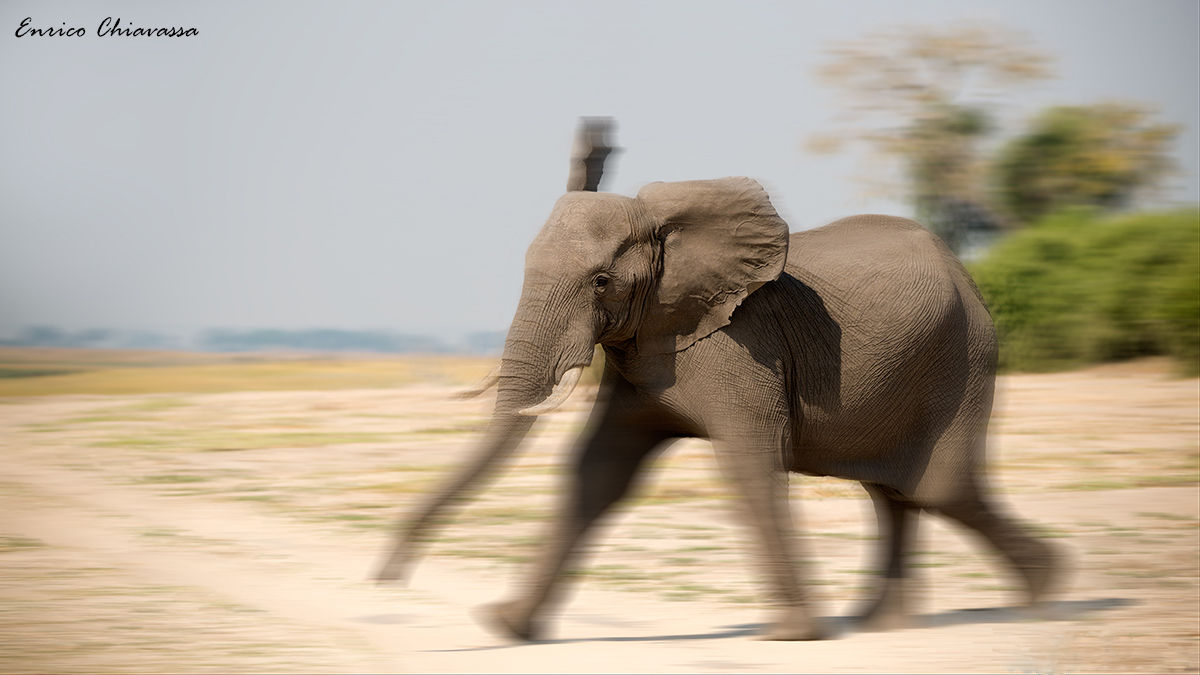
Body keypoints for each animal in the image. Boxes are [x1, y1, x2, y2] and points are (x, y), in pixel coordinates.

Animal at [375, 118, 1060, 641]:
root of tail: (963, 273)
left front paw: (790, 635)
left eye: (601, 281)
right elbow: (599, 470)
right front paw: (507, 627)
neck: (661, 226)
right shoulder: (646, 350)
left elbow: (749, 458)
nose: (388, 578)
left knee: (939, 489)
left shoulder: (738, 344)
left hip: (964, 358)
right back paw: (883, 624)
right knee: (892, 492)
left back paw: (1044, 596)